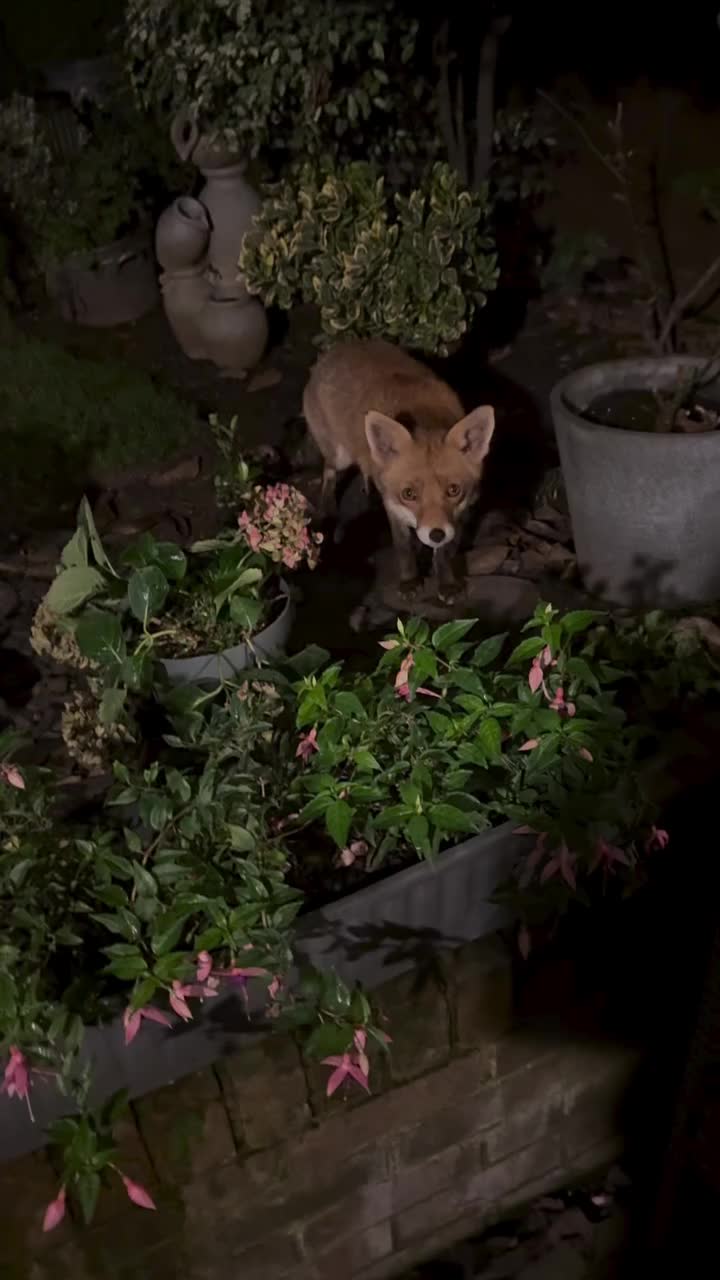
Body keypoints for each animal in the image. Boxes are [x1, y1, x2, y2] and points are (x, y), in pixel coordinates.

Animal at [302, 339, 496, 598]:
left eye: (453, 490)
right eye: (409, 494)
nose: (436, 534)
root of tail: (337, 349)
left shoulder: (461, 512)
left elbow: (444, 553)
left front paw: (446, 583)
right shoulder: (394, 508)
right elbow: (403, 548)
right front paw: (409, 581)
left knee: (365, 470)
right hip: (340, 456)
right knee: (329, 473)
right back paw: (329, 508)